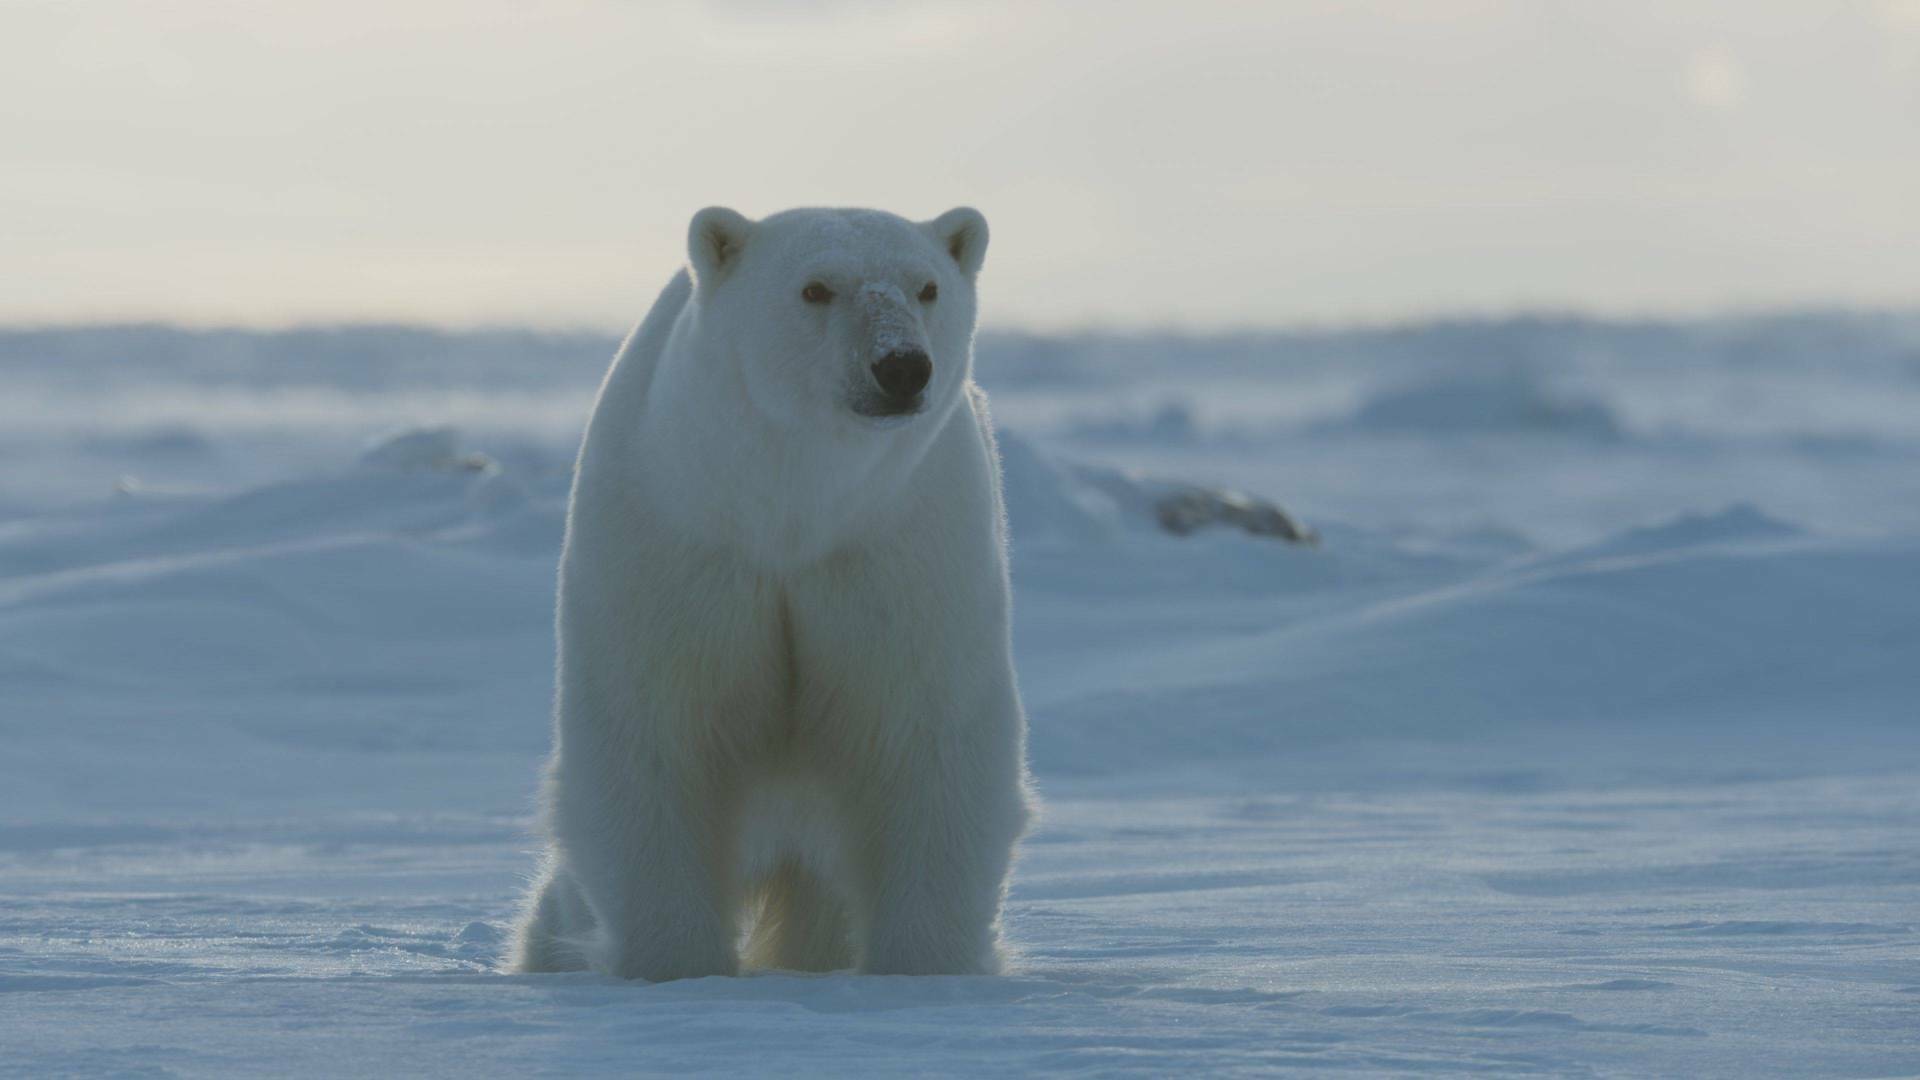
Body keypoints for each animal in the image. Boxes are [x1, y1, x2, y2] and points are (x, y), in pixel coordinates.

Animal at [510, 205, 1036, 980]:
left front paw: (923, 968)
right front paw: (675, 965)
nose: (902, 366)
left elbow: (926, 735)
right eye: (816, 288)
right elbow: (657, 734)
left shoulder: (898, 546)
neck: (793, 509)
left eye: (927, 286)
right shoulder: (685, 536)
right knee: (559, 913)